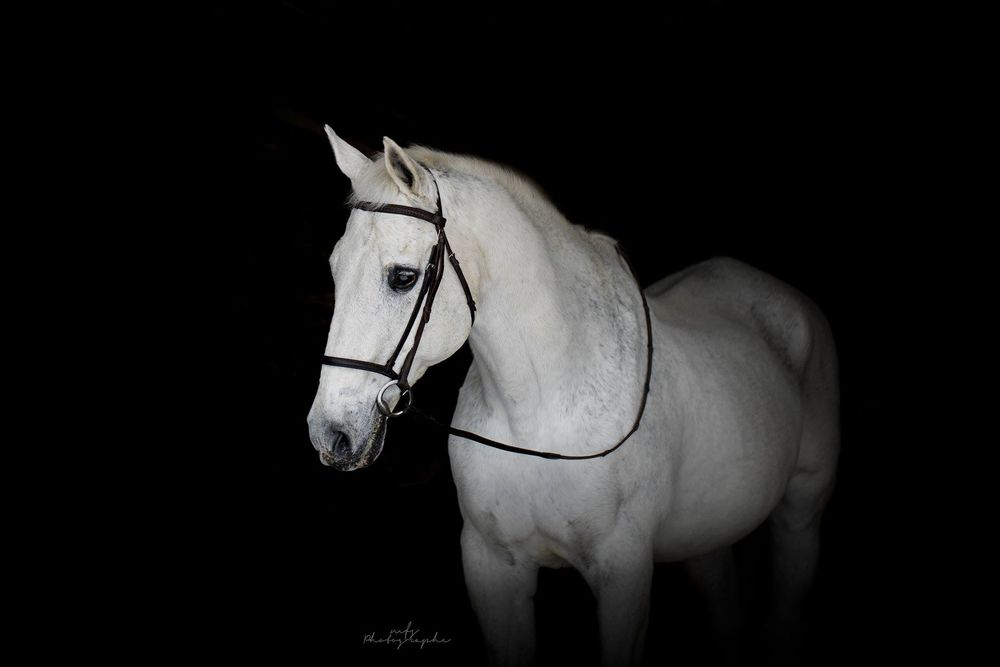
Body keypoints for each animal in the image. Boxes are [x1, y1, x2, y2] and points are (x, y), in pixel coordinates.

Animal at [307, 127, 839, 666]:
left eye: (402, 277)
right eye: (334, 268)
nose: (330, 433)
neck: (537, 414)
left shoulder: (623, 573)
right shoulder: (491, 566)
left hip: (802, 508)